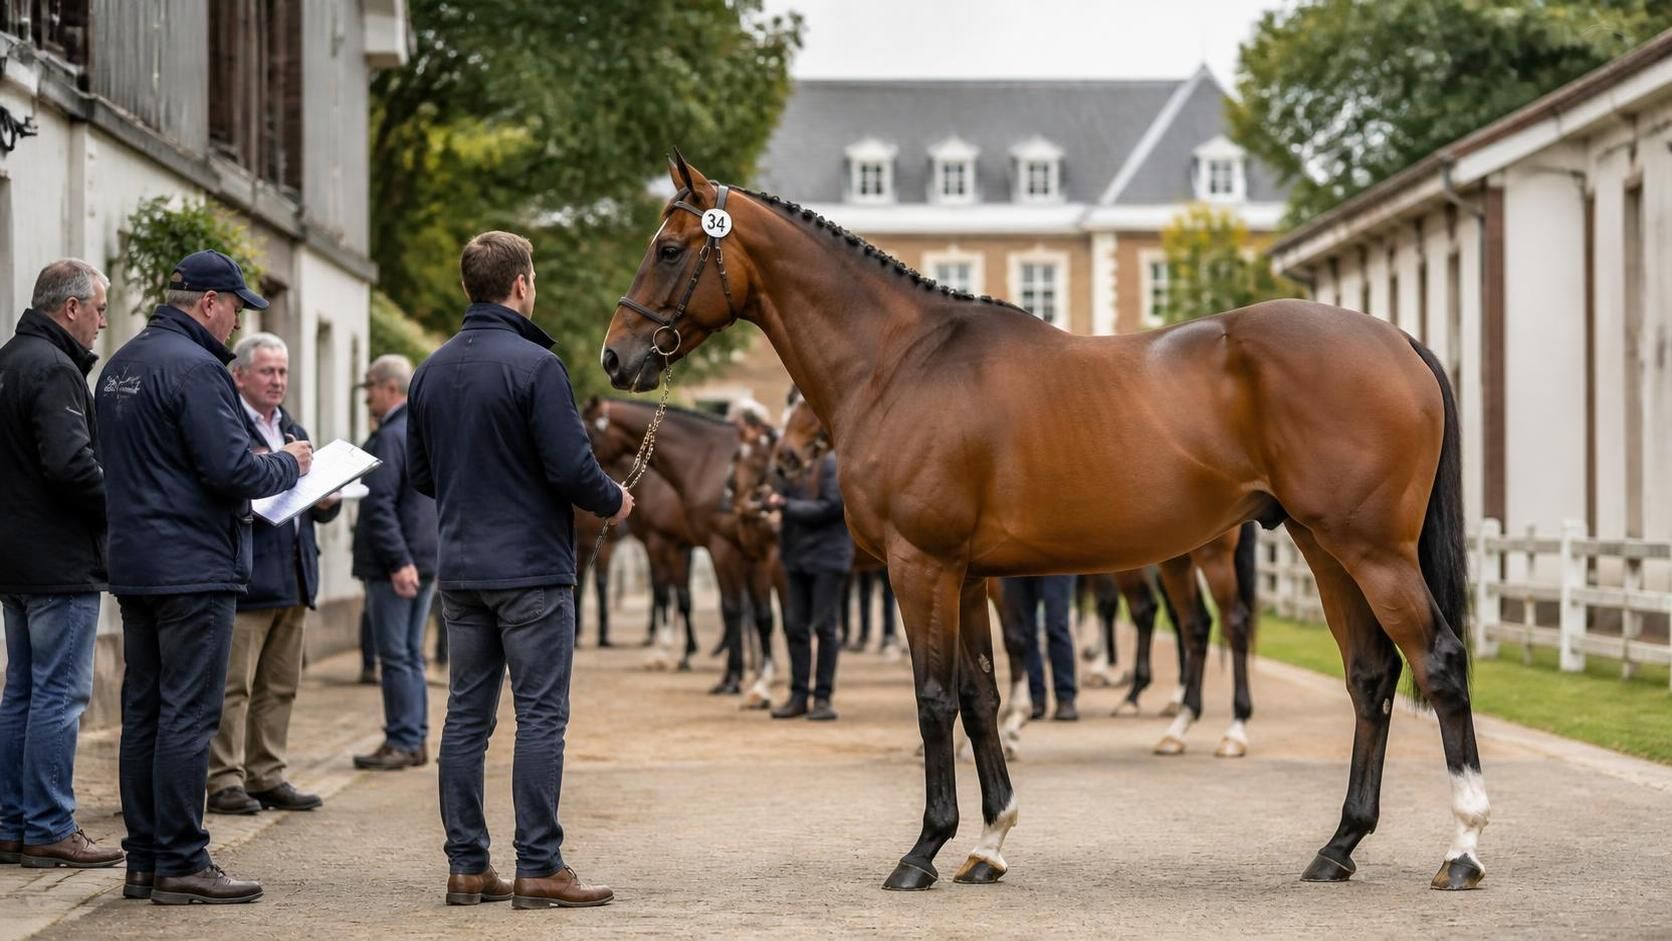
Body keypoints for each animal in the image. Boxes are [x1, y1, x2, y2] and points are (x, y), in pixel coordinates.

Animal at [602, 156, 1485, 893]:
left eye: (670, 248)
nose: (617, 357)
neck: (902, 361)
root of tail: (1396, 338)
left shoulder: (920, 566)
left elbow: (934, 698)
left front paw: (922, 850)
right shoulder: (967, 577)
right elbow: (981, 695)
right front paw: (988, 843)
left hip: (1369, 551)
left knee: (1436, 661)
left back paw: (1463, 847)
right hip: (1324, 546)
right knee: (1370, 675)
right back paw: (1339, 845)